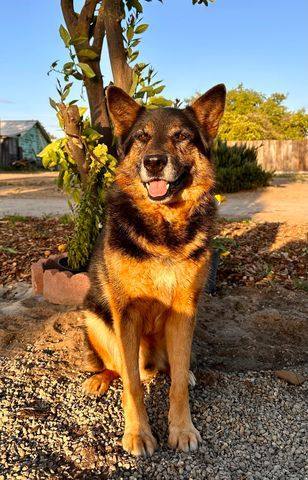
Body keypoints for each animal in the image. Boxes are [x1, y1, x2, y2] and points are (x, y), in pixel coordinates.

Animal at [83, 83, 225, 458]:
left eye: (181, 137)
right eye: (142, 138)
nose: (154, 162)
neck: (165, 228)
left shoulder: (184, 311)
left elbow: (176, 386)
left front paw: (182, 428)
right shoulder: (126, 314)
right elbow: (132, 384)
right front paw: (138, 433)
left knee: (171, 368)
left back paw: (183, 372)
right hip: (94, 318)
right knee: (118, 368)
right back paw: (100, 379)